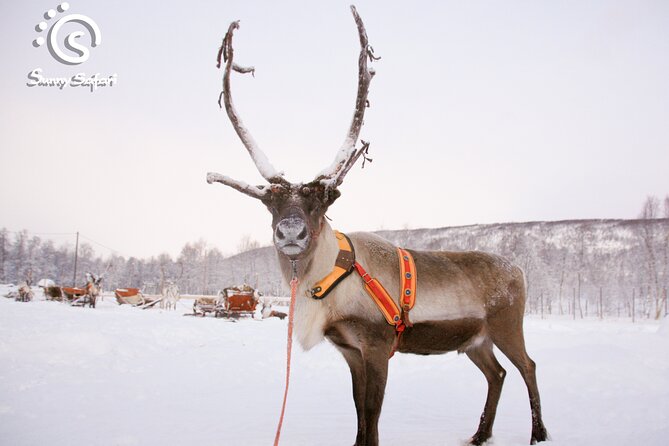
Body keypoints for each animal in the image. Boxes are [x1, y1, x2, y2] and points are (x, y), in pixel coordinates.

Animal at [207, 6, 548, 446]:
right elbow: (358, 412)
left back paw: (538, 433)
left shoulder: (377, 346)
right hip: (475, 340)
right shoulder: (350, 351)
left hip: (506, 326)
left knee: (528, 366)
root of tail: (520, 270)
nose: (290, 233)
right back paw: (479, 434)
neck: (330, 282)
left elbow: (372, 413)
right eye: (269, 202)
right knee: (499, 373)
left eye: (322, 202)